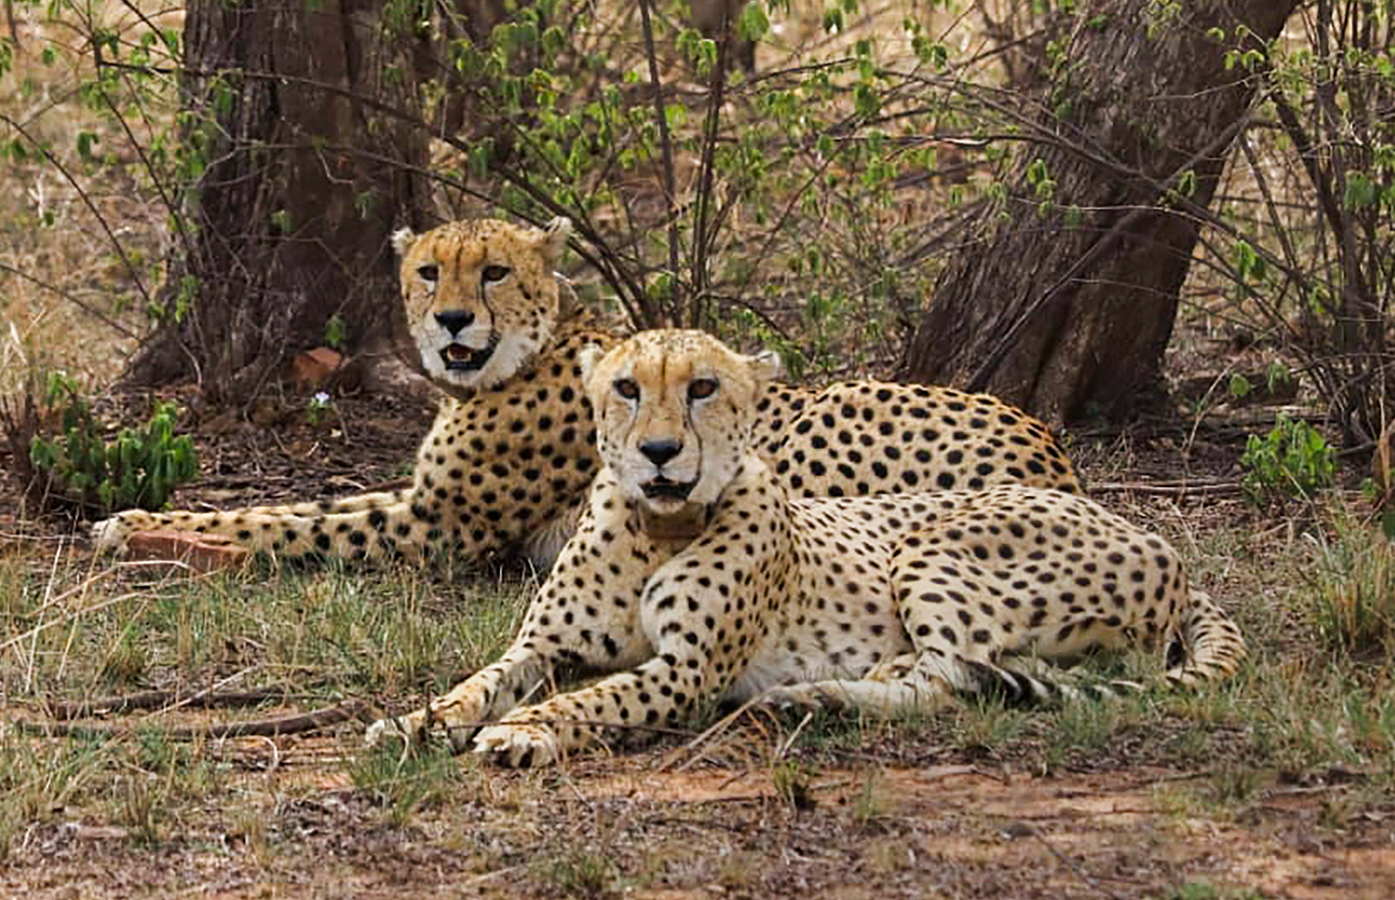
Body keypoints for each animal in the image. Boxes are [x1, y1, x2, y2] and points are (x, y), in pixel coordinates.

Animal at [92, 217, 1080, 571]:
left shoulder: (443, 528)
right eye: (427, 271)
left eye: (492, 271)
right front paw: (138, 519)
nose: (450, 321)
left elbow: (288, 525)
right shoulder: (421, 498)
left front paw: (143, 533)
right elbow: (296, 503)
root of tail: (1051, 449)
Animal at [365, 329, 1246, 767]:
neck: (657, 527)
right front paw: (415, 722)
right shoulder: (543, 645)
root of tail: (1155, 539)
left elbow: (592, 699)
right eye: (625, 388)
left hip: (930, 547)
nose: (658, 453)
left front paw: (524, 732)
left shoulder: (687, 671)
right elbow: (478, 683)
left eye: (703, 388)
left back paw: (821, 695)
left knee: (951, 678)